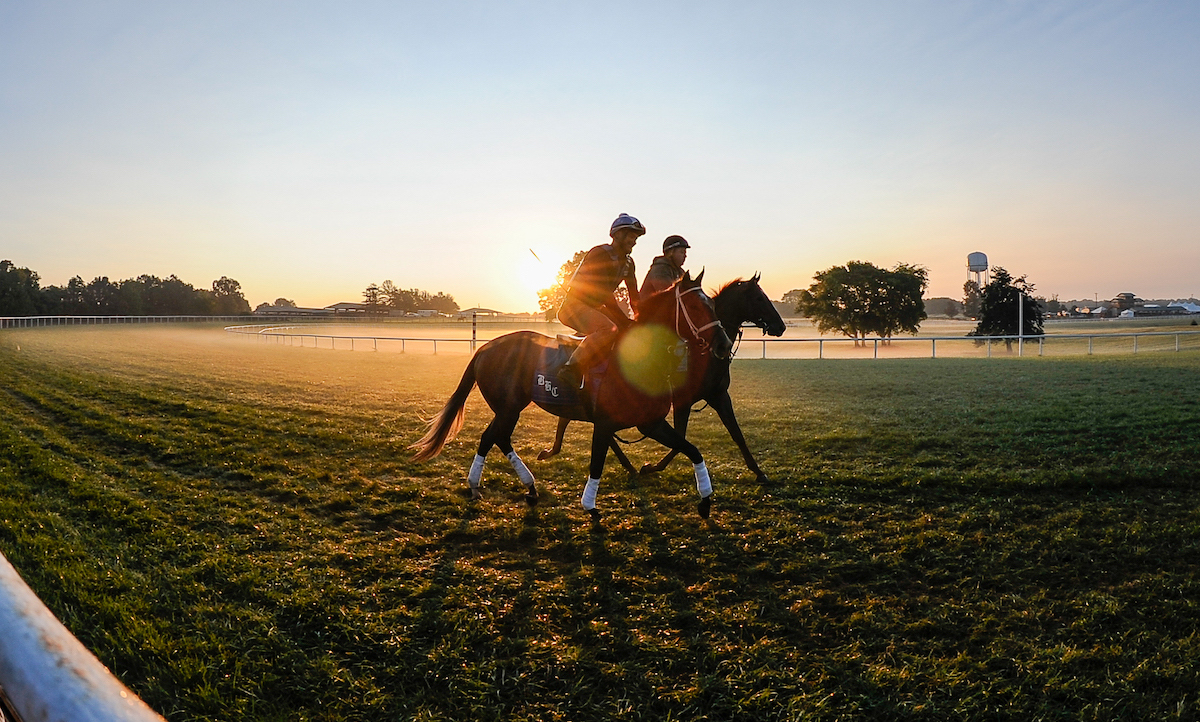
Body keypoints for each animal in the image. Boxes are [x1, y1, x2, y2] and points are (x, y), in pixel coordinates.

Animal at [410, 269, 729, 518]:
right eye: (696, 308)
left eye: (714, 306)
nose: (724, 344)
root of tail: (485, 348)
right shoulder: (604, 425)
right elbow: (597, 464)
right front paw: (590, 506)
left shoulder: (650, 423)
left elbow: (693, 450)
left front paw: (705, 499)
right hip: (509, 407)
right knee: (492, 437)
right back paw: (480, 483)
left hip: (509, 408)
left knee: (497, 438)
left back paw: (527, 486)